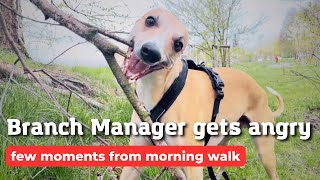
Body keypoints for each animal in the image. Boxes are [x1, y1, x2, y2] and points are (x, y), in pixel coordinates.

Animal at [120, 8, 282, 180]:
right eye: (150, 20)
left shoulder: (193, 168)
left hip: (265, 152)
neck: (164, 89)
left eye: (178, 45)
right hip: (223, 140)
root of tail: (260, 90)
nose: (151, 52)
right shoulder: (134, 159)